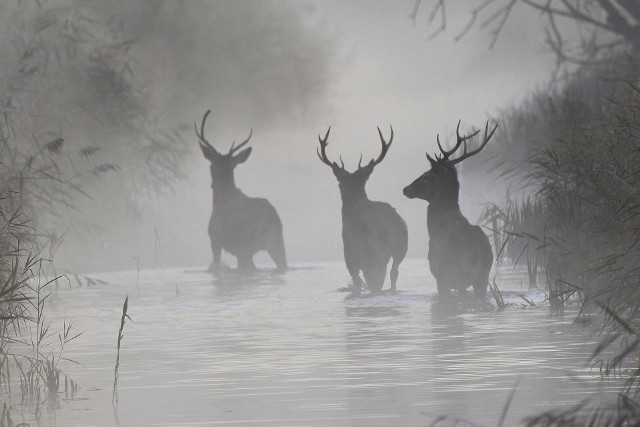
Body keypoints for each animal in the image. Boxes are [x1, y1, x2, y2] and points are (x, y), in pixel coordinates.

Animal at [194, 110, 286, 274]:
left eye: (211, 166)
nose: (212, 184)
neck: (222, 196)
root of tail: (271, 218)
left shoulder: (215, 239)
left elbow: (216, 265)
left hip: (246, 244)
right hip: (277, 242)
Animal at [316, 125, 410, 296]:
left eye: (339, 184)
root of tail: (388, 225)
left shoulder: (349, 255)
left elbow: (358, 281)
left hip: (368, 250)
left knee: (373, 278)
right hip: (401, 247)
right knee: (393, 273)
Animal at [402, 120, 498, 298]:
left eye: (426, 176)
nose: (406, 189)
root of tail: (479, 254)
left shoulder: (440, 277)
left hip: (453, 272)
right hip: (482, 278)